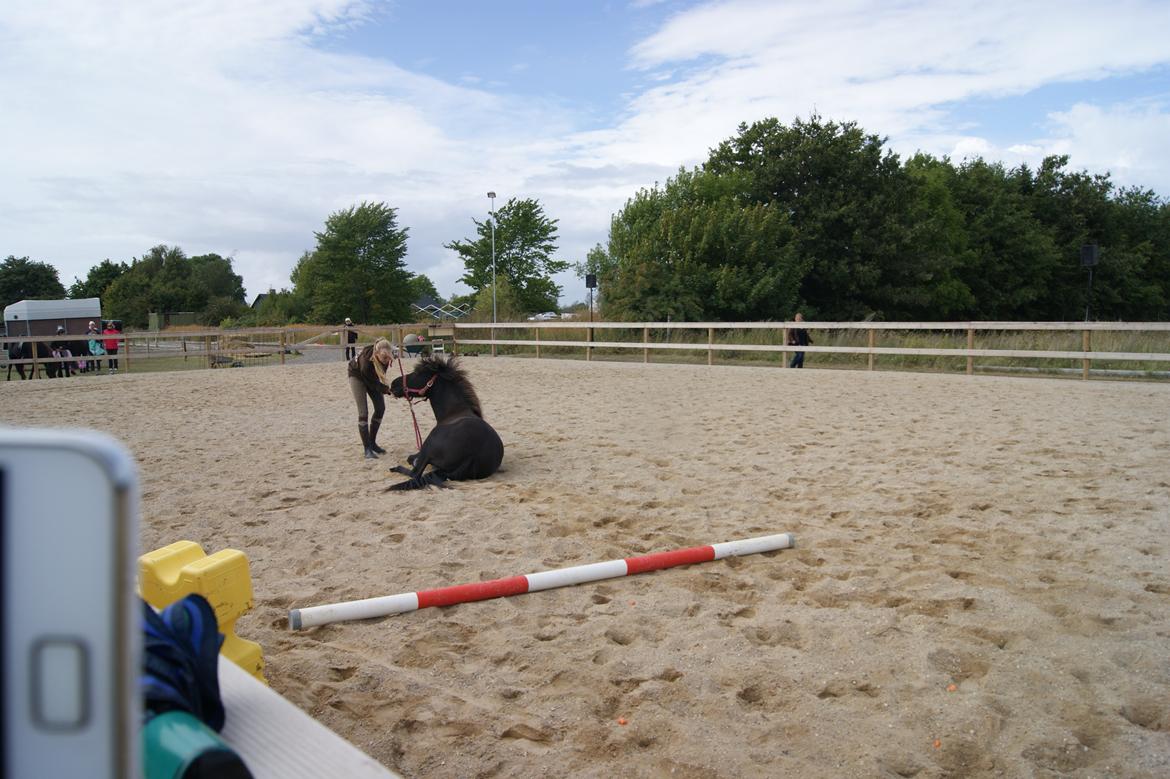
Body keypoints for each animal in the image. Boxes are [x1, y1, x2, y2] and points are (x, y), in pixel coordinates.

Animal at [388, 355, 503, 488]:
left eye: (417, 373)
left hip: (428, 445)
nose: (393, 384)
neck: (453, 410)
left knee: (415, 473)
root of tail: (473, 454)